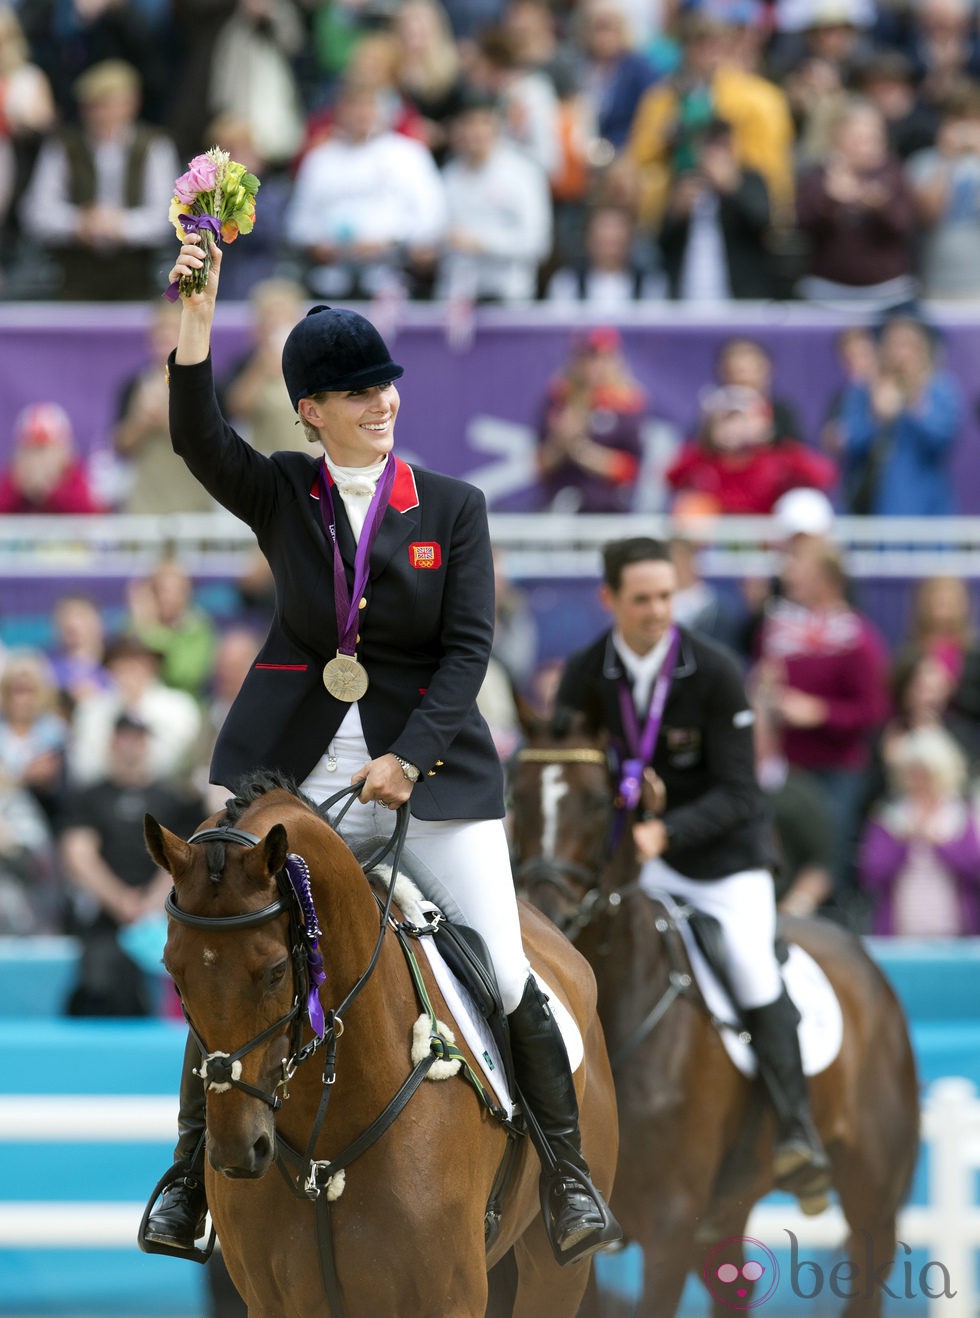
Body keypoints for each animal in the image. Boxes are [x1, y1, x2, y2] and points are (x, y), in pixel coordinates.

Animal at [145, 769, 619, 1318]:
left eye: (276, 971)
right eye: (173, 972)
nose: (238, 1153)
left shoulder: (448, 1297)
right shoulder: (273, 1301)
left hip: (553, 1271)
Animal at [508, 722, 922, 1318]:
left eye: (600, 802)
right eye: (514, 796)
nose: (546, 914)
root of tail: (860, 955)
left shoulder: (671, 1222)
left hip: (873, 1198)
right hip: (726, 1214)